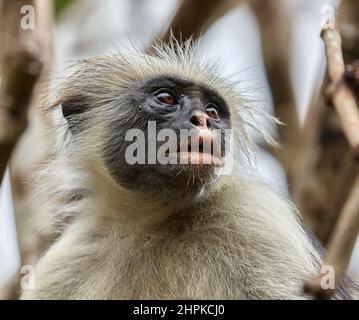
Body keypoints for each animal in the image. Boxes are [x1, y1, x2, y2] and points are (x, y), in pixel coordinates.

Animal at [21, 40, 358, 300]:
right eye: (166, 98)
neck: (149, 220)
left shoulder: (256, 217)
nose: (202, 120)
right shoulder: (65, 264)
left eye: (212, 111)